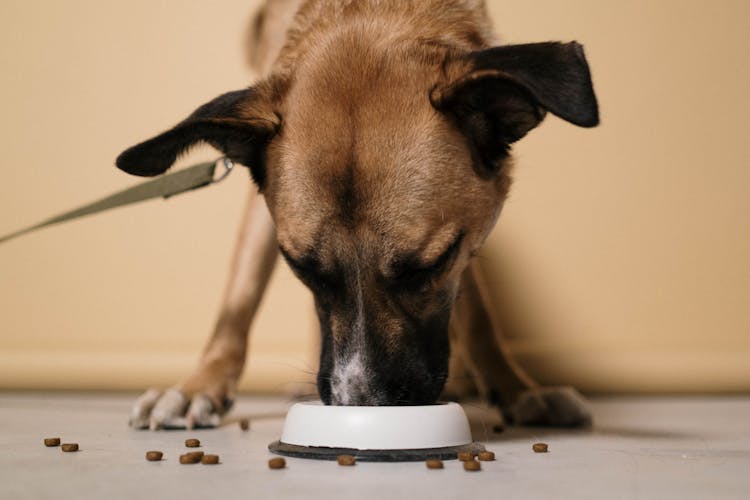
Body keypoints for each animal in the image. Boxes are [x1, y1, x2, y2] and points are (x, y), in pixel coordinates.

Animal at [119, 0, 600, 430]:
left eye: (429, 266)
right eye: (302, 268)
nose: (360, 404)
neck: (369, 12)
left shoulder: (467, 235)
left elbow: (479, 313)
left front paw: (516, 388)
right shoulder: (261, 203)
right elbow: (239, 299)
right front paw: (200, 385)